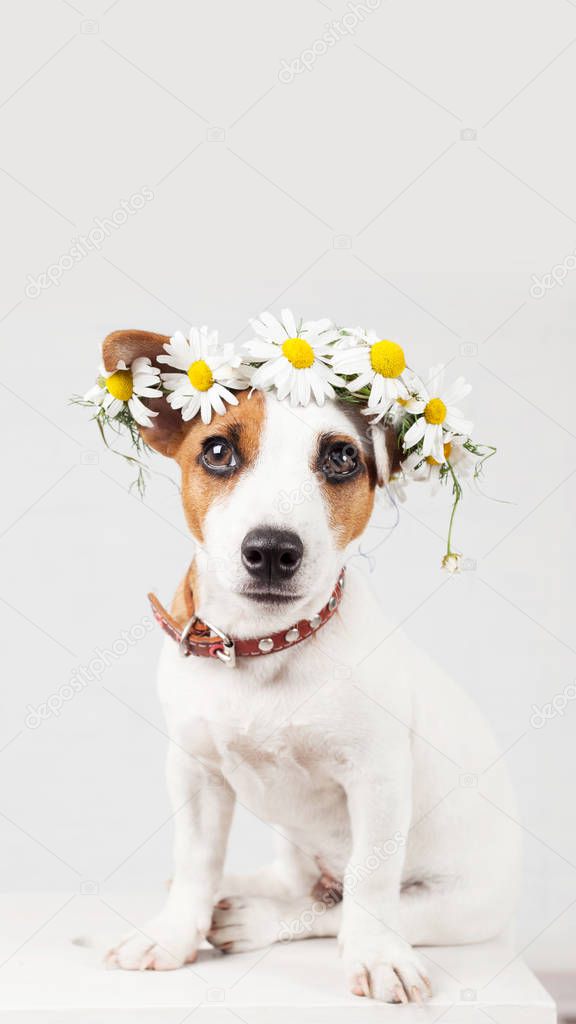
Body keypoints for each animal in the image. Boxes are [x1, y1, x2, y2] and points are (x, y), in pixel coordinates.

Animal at [104, 329, 520, 999]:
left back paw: (255, 919)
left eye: (342, 459)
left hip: (455, 906)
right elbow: (195, 861)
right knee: (298, 883)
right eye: (217, 449)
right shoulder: (194, 771)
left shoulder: (378, 781)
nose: (273, 550)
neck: (267, 647)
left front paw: (378, 958)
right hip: (296, 844)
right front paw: (171, 934)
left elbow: (370, 887)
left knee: (334, 907)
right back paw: (241, 892)